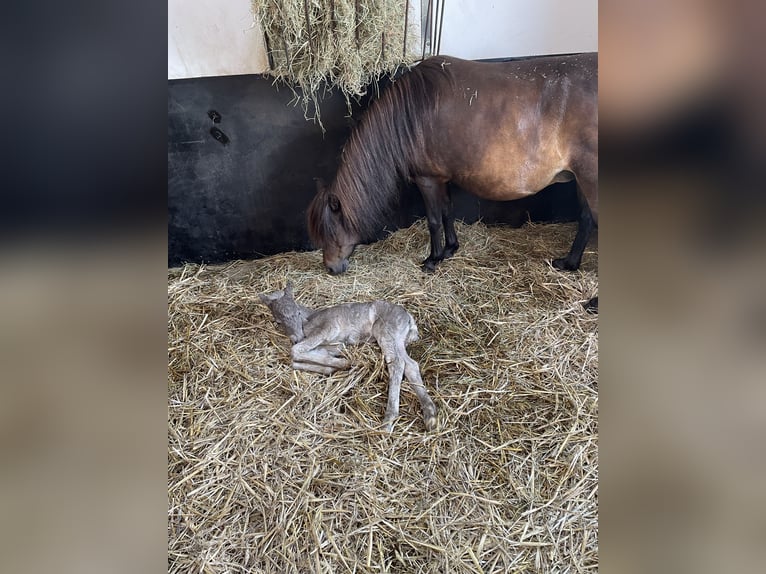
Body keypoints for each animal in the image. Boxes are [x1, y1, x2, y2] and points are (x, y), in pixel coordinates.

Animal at [260, 284, 438, 432]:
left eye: (297, 312)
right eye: (278, 321)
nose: (297, 337)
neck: (309, 320)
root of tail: (409, 318)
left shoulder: (329, 328)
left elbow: (294, 351)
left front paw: (344, 363)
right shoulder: (336, 344)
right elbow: (296, 360)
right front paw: (335, 366)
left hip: (386, 332)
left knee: (397, 363)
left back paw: (389, 420)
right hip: (398, 339)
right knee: (411, 365)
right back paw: (430, 416)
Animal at [308, 55, 600, 276]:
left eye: (330, 232)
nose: (331, 268)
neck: (409, 114)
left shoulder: (427, 179)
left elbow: (434, 220)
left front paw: (432, 259)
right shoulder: (442, 178)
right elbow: (448, 210)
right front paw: (450, 249)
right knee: (586, 219)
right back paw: (569, 263)